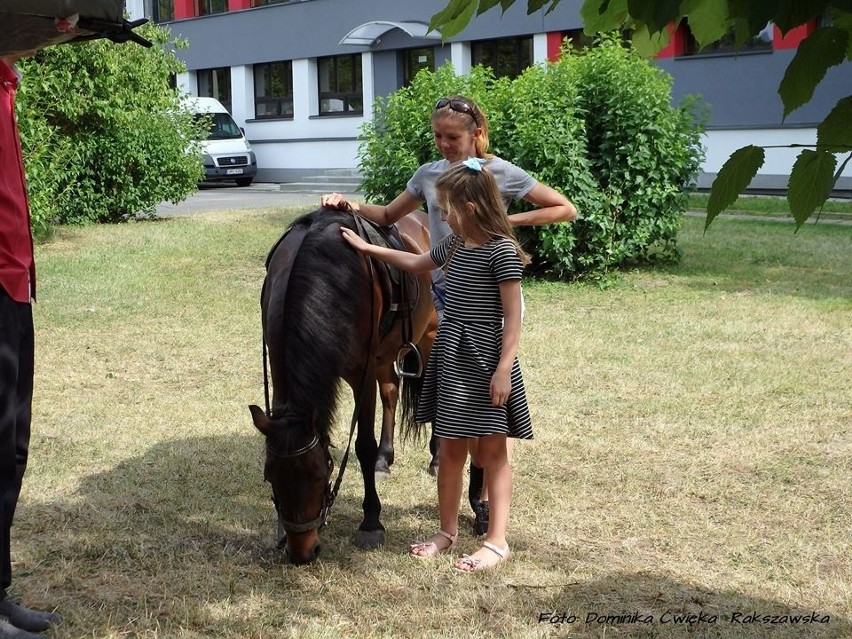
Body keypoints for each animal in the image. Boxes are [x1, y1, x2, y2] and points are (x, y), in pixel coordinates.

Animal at [246, 208, 432, 564]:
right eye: (269, 476)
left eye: (322, 473)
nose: (302, 553)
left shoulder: (362, 374)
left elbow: (363, 445)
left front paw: (371, 522)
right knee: (391, 392)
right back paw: (385, 459)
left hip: (429, 334)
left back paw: (437, 459)